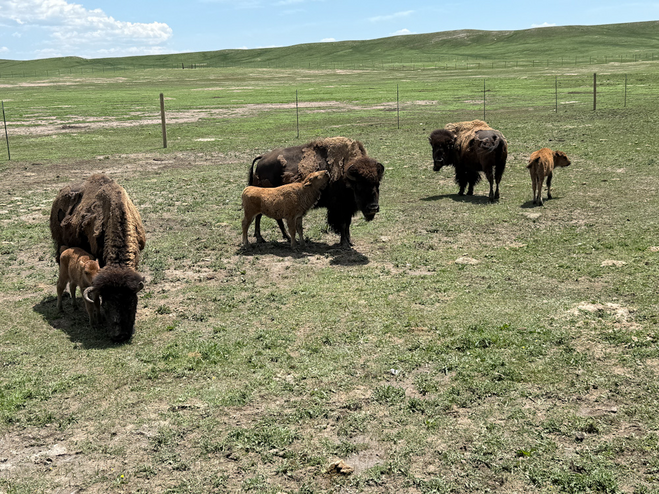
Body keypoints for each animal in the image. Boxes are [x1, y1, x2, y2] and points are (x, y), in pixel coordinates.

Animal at [50, 174, 146, 342]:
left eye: (131, 304)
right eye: (106, 304)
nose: (119, 336)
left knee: (73, 284)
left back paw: (75, 305)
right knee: (62, 284)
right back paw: (61, 308)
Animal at [249, 137, 384, 247]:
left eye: (377, 184)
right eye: (359, 186)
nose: (373, 208)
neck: (346, 176)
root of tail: (262, 159)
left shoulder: (347, 209)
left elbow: (347, 224)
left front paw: (349, 241)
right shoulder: (339, 208)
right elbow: (343, 224)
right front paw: (344, 243)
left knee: (271, 217)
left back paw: (283, 237)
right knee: (260, 216)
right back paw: (262, 238)